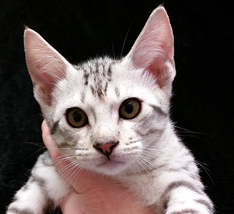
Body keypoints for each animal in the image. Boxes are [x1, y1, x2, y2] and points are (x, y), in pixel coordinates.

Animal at [6, 5, 214, 213]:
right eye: (76, 117)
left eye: (130, 108)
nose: (105, 145)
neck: (125, 176)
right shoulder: (44, 172)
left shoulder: (183, 176)